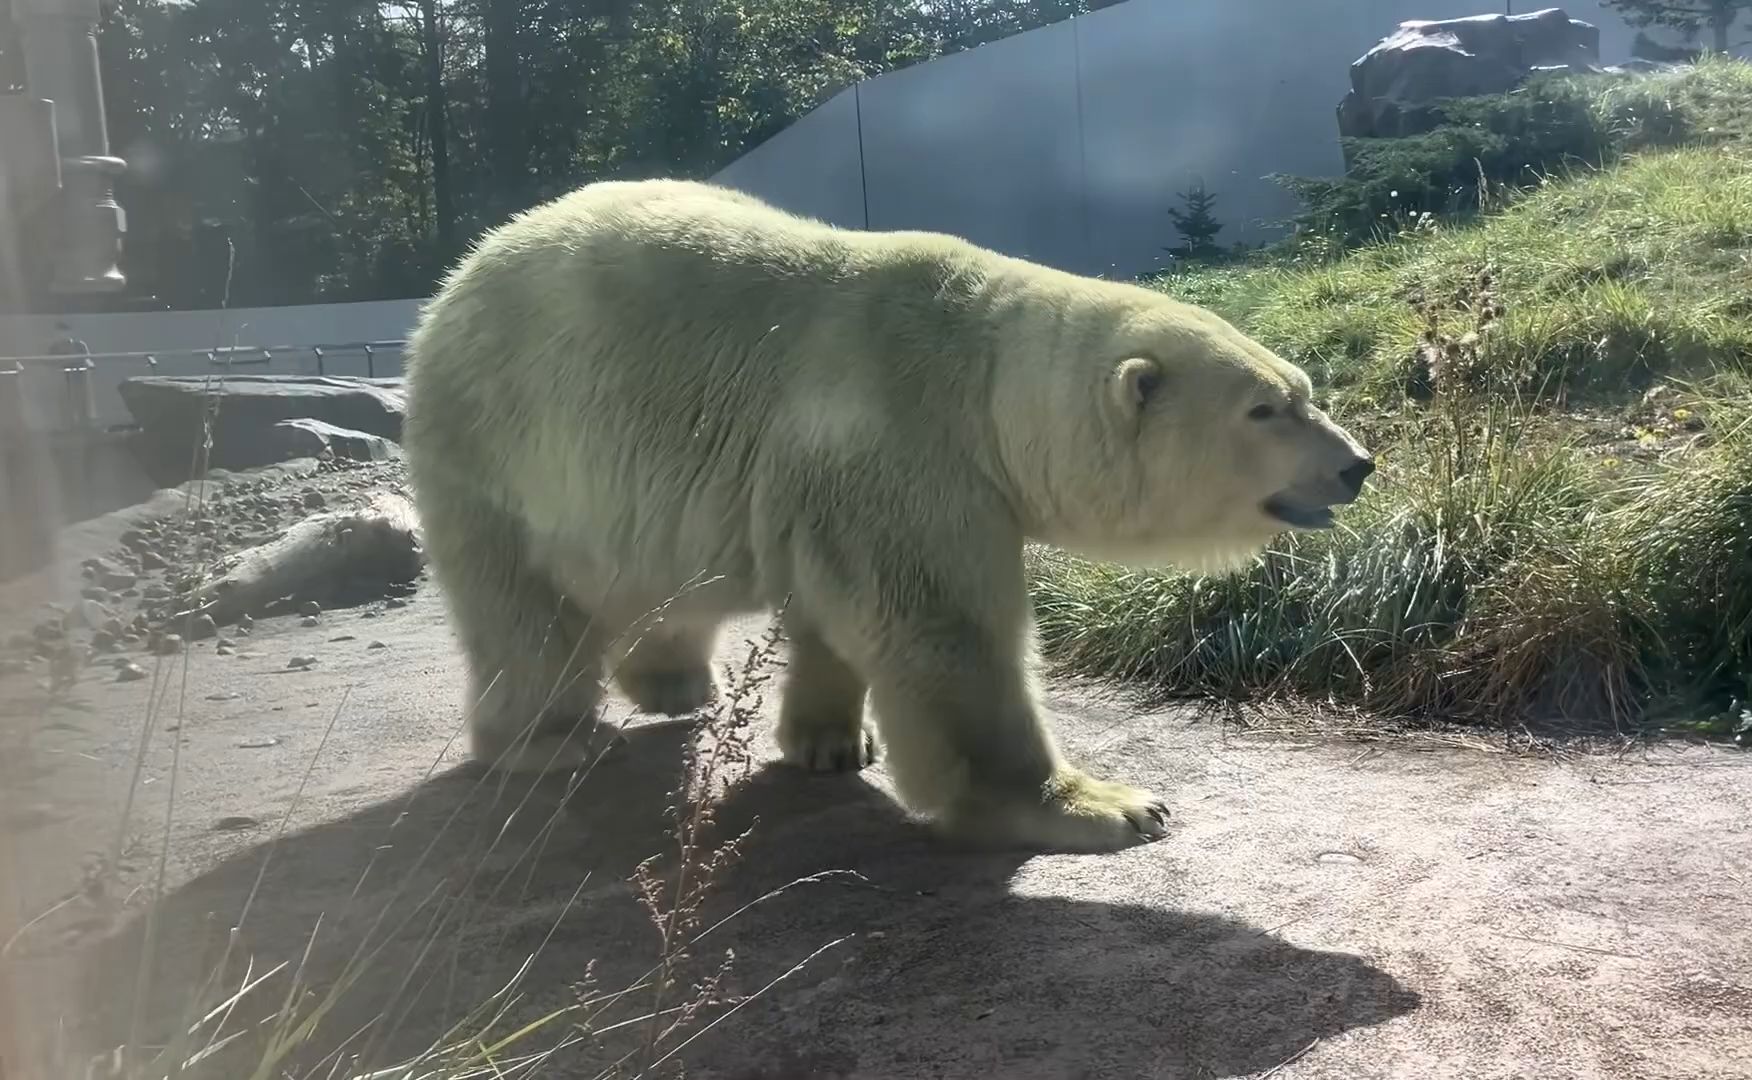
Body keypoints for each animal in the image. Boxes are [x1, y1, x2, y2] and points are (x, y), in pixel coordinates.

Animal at [402, 177, 1373, 852]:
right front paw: (1108, 806)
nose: (1357, 465)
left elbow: (833, 613)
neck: (985, 380)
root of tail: (458, 276)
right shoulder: (899, 441)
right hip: (497, 443)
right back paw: (549, 741)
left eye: (1305, 389)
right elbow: (944, 631)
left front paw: (834, 743)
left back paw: (674, 683)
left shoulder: (830, 481)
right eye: (1265, 410)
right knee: (520, 611)